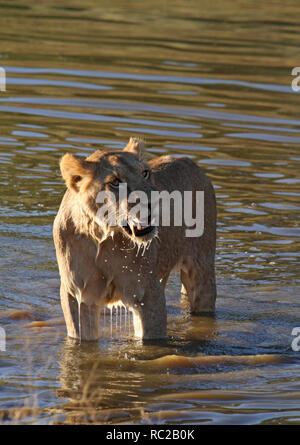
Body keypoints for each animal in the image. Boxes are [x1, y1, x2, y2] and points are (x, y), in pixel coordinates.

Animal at [53, 139, 216, 340]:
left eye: (145, 173)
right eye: (115, 182)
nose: (156, 201)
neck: (105, 237)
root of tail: (188, 160)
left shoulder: (147, 292)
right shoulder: (77, 294)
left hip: (202, 269)